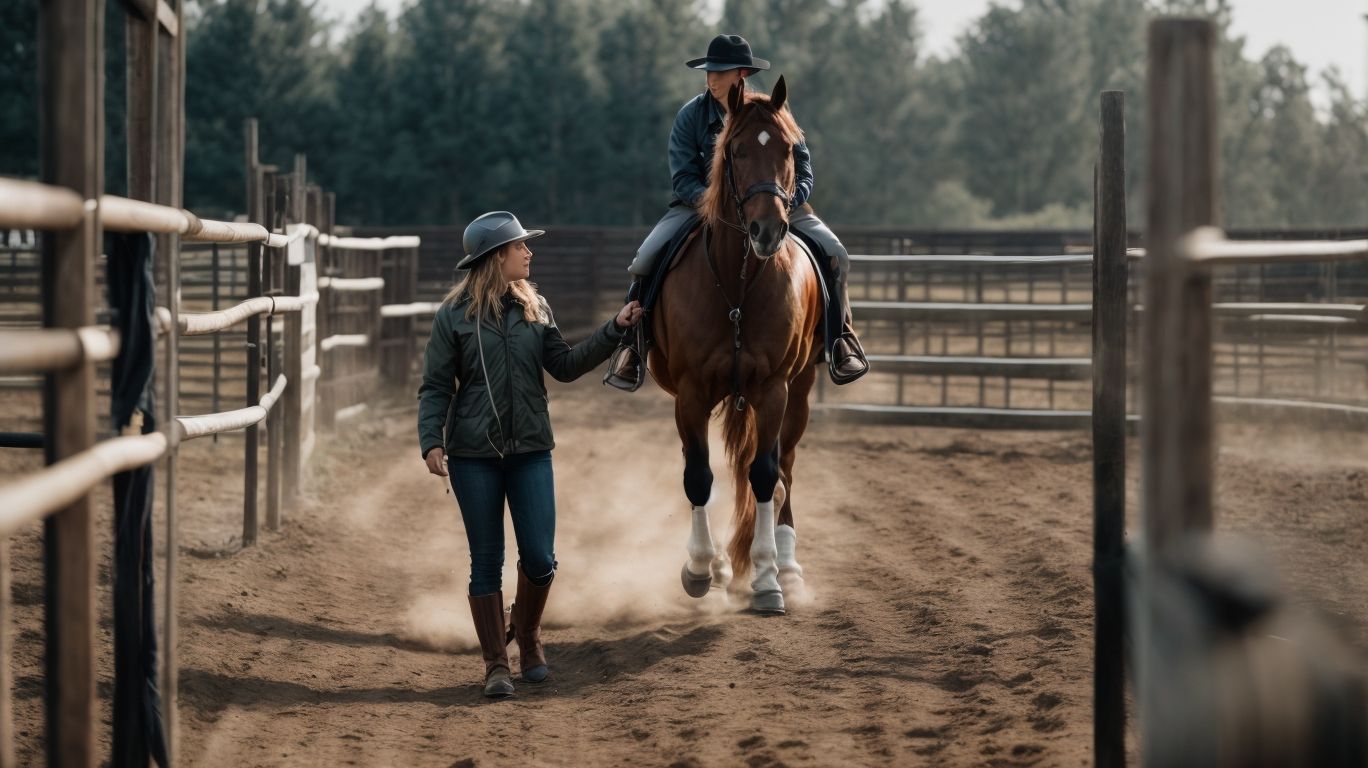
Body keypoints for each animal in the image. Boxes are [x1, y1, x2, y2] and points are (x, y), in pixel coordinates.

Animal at [648, 76, 823, 615]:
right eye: (737, 150)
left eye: (789, 149)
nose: (768, 230)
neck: (738, 285)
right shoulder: (691, 394)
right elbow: (699, 477)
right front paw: (701, 570)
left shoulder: (773, 389)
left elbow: (765, 475)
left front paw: (766, 580)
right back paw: (724, 566)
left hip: (800, 391)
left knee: (784, 469)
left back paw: (789, 570)